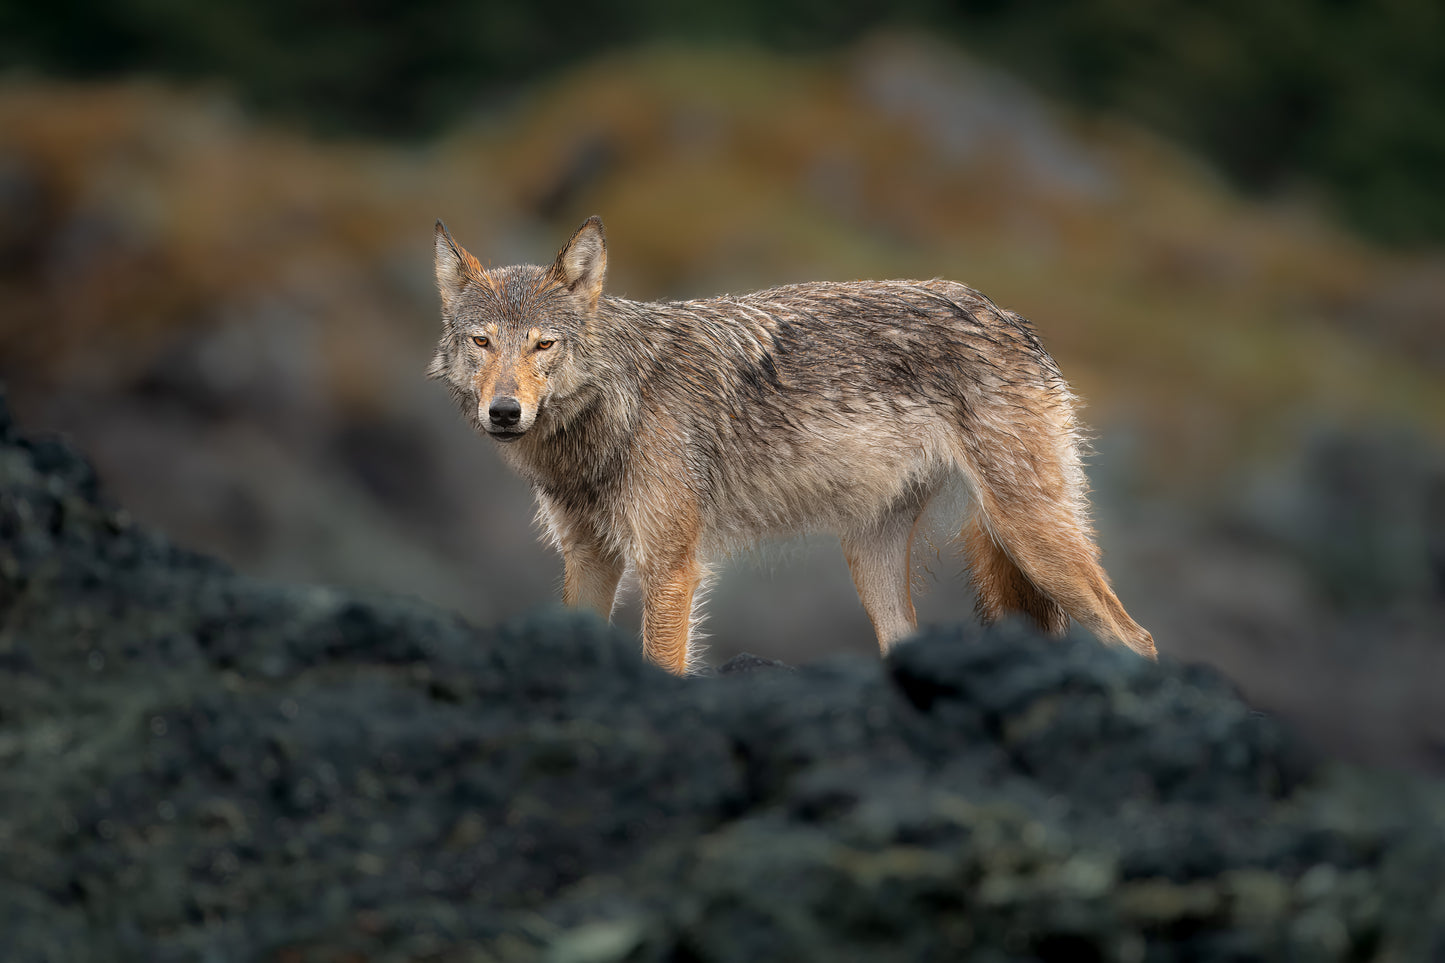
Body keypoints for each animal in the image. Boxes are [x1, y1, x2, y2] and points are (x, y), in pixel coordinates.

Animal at [421, 214, 1156, 670]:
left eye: (542, 345)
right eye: (481, 341)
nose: (505, 411)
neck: (611, 409)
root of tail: (1009, 316)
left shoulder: (670, 569)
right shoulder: (588, 559)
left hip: (1030, 537)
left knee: (1137, 639)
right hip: (874, 556)